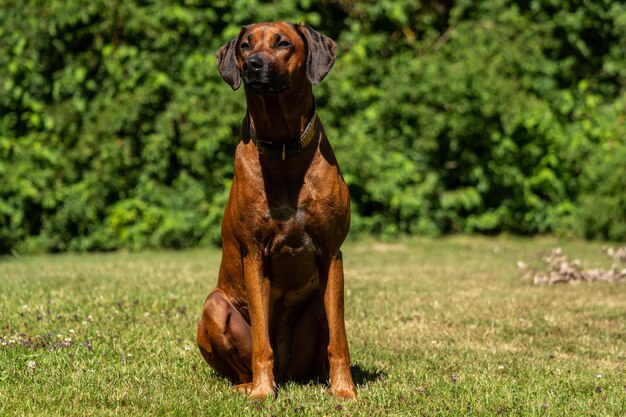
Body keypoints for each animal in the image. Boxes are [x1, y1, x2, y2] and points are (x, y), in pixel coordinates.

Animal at [195, 22, 354, 400]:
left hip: (315, 310)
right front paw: (263, 392)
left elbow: (340, 339)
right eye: (245, 45)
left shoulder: (333, 253)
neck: (283, 146)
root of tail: (288, 373)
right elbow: (261, 342)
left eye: (283, 43)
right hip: (214, 306)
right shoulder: (254, 254)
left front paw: (344, 390)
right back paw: (249, 384)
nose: (252, 65)